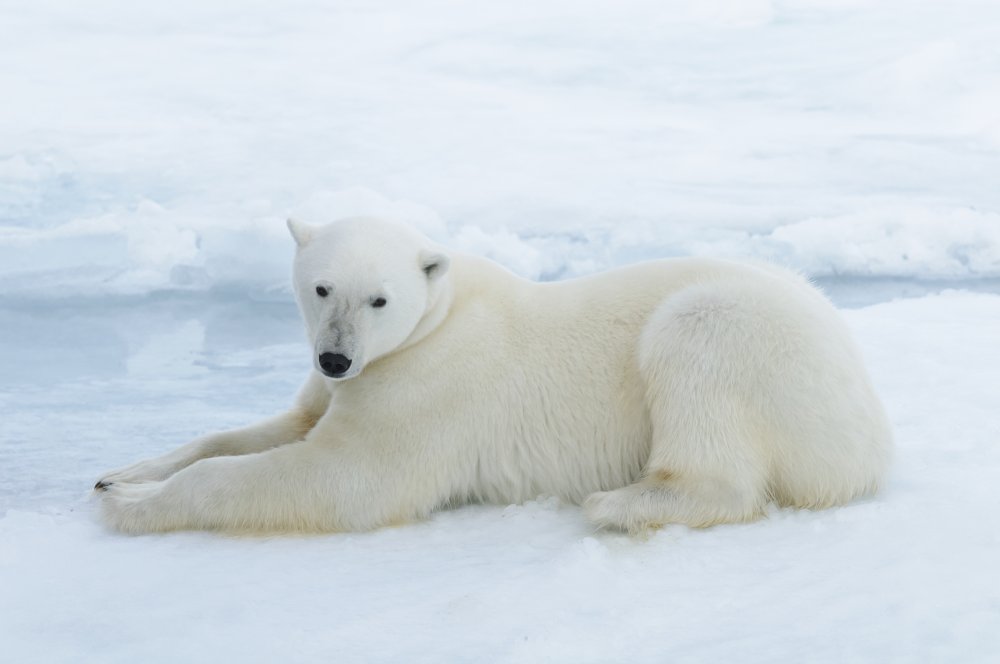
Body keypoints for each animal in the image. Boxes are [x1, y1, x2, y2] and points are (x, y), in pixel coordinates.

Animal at [95, 217, 893, 534]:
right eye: (321, 287)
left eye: (379, 299)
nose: (335, 357)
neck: (438, 315)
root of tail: (872, 434)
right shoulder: (339, 384)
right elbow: (276, 426)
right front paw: (122, 473)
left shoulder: (426, 388)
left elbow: (344, 479)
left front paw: (132, 504)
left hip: (748, 338)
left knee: (700, 369)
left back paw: (617, 502)